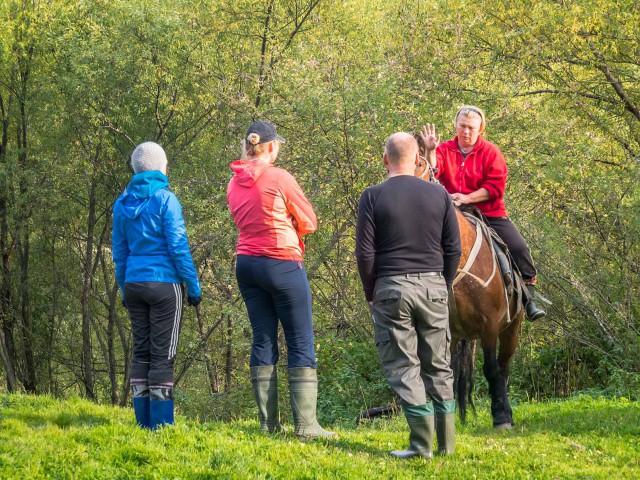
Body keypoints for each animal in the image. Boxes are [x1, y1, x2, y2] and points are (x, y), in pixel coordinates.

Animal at [416, 144, 524, 430]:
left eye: (420, 163)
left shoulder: (490, 326)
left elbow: (492, 369)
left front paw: (501, 416)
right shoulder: (446, 330)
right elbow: (446, 373)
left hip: (512, 328)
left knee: (503, 366)